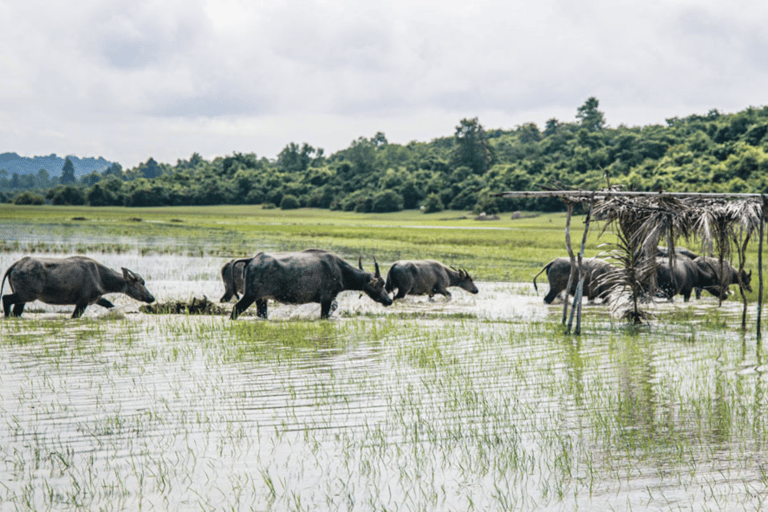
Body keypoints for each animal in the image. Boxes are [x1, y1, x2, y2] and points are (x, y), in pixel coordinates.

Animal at [2, 255, 155, 316]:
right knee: (5, 298)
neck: (102, 278)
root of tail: (16, 265)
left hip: (23, 297)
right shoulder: (83, 301)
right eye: (141, 282)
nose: (151, 297)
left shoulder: (96, 299)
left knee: (16, 311)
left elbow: (110, 304)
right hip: (27, 295)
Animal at [228, 249, 390, 320]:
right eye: (380, 283)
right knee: (236, 309)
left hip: (261, 299)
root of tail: (252, 259)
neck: (340, 269)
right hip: (250, 295)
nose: (389, 300)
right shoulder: (326, 298)